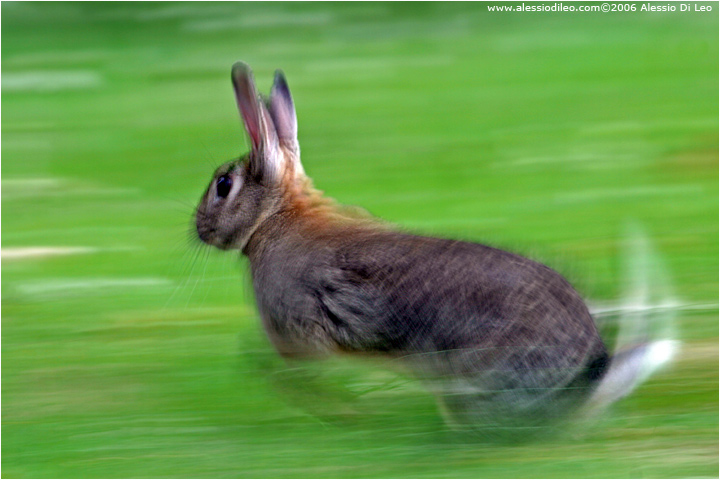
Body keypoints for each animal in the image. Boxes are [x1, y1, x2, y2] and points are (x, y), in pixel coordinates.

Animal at [195, 61, 668, 432]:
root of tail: (589, 377)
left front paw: (344, 412)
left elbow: (283, 369)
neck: (275, 217)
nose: (198, 229)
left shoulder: (298, 330)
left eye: (224, 185)